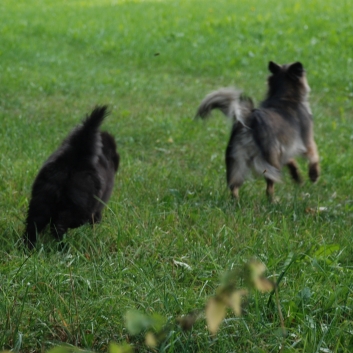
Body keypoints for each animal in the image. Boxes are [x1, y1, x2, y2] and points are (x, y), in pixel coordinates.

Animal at [23, 105, 119, 248]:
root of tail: (74, 158)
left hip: (41, 199)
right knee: (61, 224)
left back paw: (28, 246)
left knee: (33, 224)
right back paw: (62, 246)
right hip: (78, 206)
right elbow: (96, 218)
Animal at [195, 60, 320, 198]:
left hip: (237, 161)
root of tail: (249, 120)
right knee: (269, 187)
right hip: (270, 162)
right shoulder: (306, 142)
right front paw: (314, 175)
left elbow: (291, 161)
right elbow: (314, 156)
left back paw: (236, 201)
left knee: (234, 186)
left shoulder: (285, 150)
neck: (284, 96)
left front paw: (296, 176)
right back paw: (273, 200)